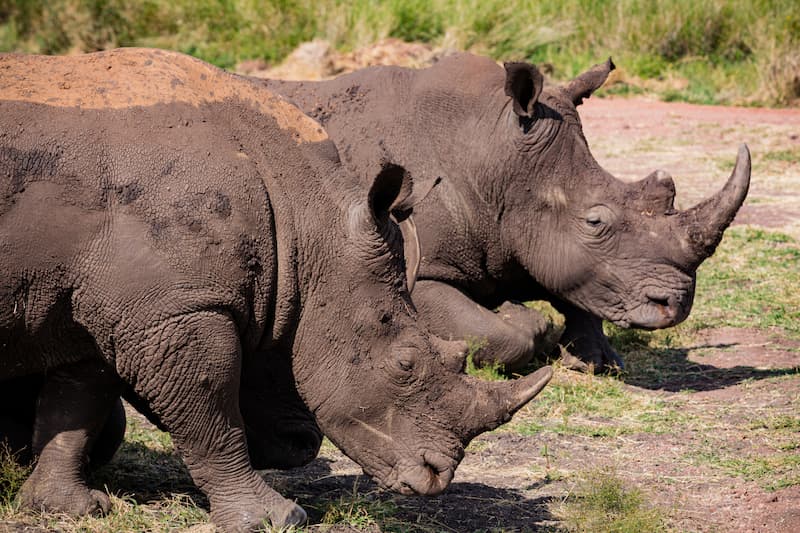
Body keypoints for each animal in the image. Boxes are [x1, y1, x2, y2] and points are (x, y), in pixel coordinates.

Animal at [0, 48, 553, 531]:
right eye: (404, 364)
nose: (437, 476)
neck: (305, 222)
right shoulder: (175, 311)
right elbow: (212, 414)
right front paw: (275, 518)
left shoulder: (103, 305)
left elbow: (78, 401)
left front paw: (67, 507)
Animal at [263, 54, 751, 372]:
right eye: (595, 222)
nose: (676, 305)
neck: (490, 153)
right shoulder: (413, 267)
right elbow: (500, 333)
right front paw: (528, 322)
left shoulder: (522, 239)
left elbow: (576, 283)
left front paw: (596, 358)